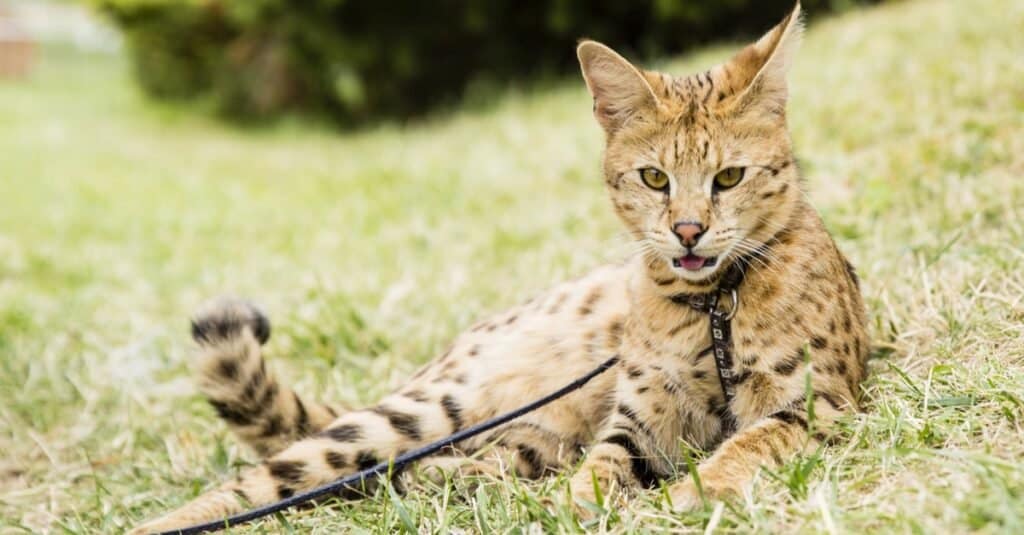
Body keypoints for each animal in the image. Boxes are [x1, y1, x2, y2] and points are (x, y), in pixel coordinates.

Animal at [125, 3, 864, 528]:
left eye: (729, 176)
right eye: (654, 178)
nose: (688, 229)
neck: (712, 303)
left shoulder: (819, 406)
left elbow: (746, 444)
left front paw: (694, 492)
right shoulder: (638, 424)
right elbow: (602, 466)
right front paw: (581, 505)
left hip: (523, 434)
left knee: (453, 465)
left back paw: (439, 479)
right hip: (424, 409)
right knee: (264, 481)